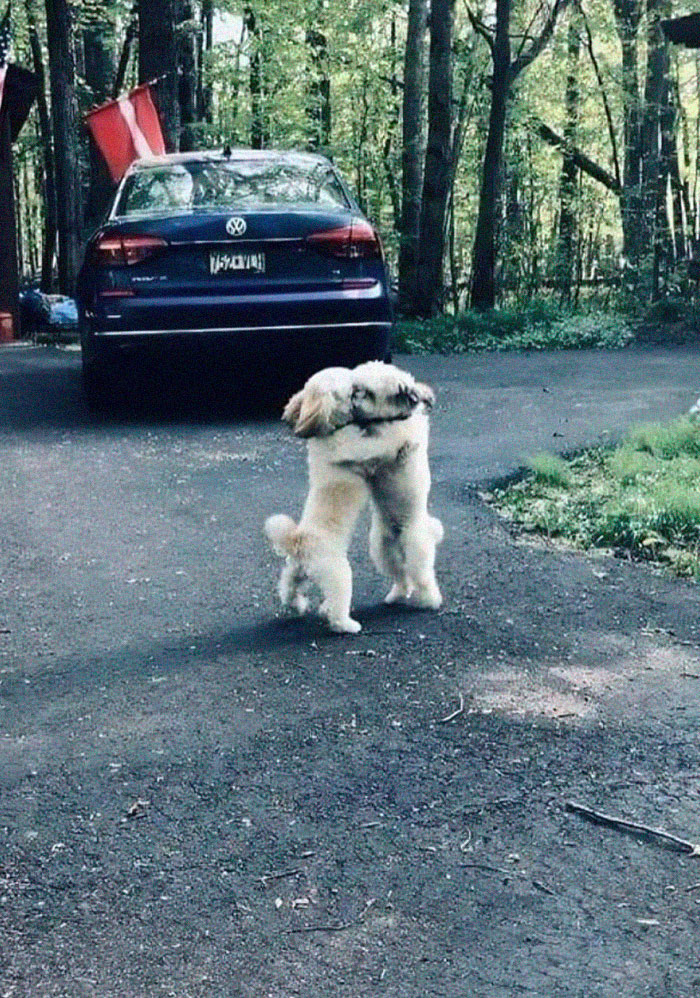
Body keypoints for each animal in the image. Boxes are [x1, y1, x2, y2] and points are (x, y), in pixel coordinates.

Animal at [262, 364, 442, 636]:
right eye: (353, 390)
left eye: (361, 391)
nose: (357, 400)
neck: (328, 430)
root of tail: (299, 543)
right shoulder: (364, 446)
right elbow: (396, 436)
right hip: (347, 571)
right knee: (414, 578)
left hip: (364, 556)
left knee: (291, 588)